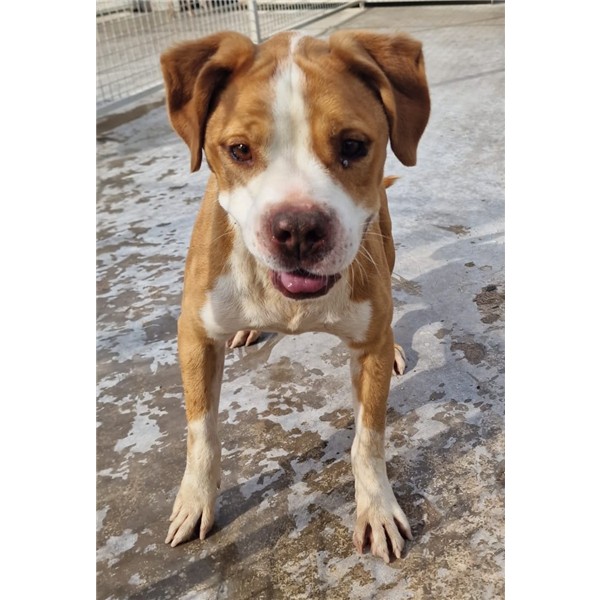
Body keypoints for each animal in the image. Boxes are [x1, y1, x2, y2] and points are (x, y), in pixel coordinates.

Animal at [160, 29, 430, 563]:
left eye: (352, 146)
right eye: (239, 150)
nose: (299, 229)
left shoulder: (367, 348)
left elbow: (368, 441)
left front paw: (377, 507)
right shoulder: (194, 336)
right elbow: (202, 432)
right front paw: (196, 500)